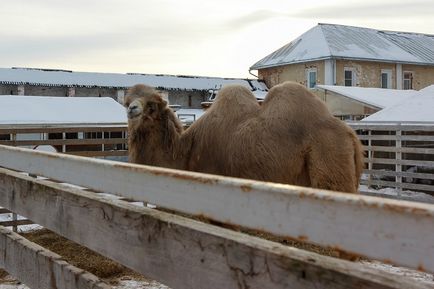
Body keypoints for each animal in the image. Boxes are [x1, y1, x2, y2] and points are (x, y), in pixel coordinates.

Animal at [124, 81, 364, 194]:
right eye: (127, 101)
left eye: (152, 106)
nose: (132, 109)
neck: (187, 151)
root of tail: (350, 135)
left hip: (330, 161)